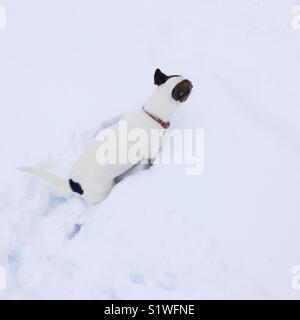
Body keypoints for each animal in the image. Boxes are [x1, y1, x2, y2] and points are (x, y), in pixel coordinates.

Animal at [19, 69, 192, 204]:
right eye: (188, 87)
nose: (193, 81)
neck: (153, 113)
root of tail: (74, 184)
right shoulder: (151, 153)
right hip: (103, 190)